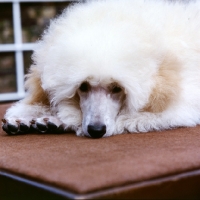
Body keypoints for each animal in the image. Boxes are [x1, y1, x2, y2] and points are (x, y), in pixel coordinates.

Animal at [1, 0, 200, 138]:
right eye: (82, 86)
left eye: (118, 88)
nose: (96, 130)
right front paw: (25, 120)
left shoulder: (181, 108)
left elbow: (135, 118)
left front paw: (60, 121)